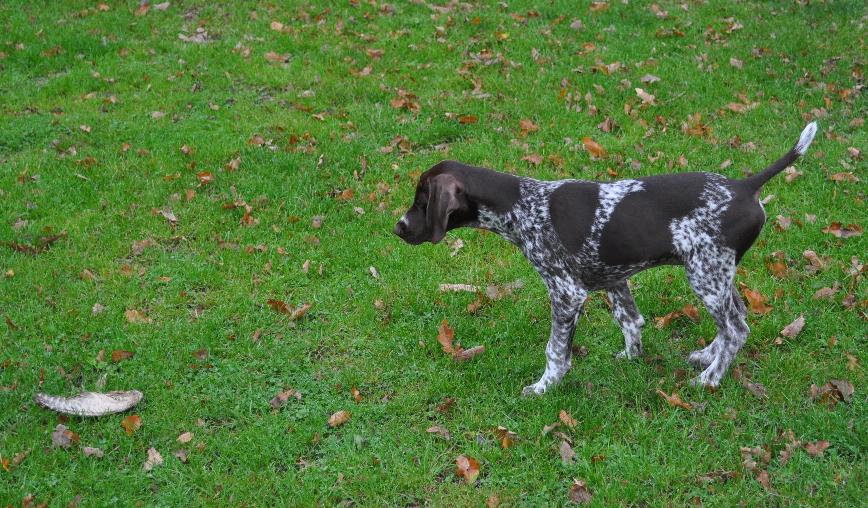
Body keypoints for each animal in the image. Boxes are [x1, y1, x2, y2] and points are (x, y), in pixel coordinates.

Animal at [396, 123, 816, 396]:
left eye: (422, 202)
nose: (398, 228)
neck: (523, 205)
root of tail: (746, 186)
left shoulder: (566, 294)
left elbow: (555, 351)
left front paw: (544, 387)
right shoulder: (614, 278)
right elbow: (630, 321)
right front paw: (630, 359)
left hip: (706, 275)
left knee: (736, 329)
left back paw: (710, 379)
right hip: (718, 274)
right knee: (735, 318)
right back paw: (707, 357)